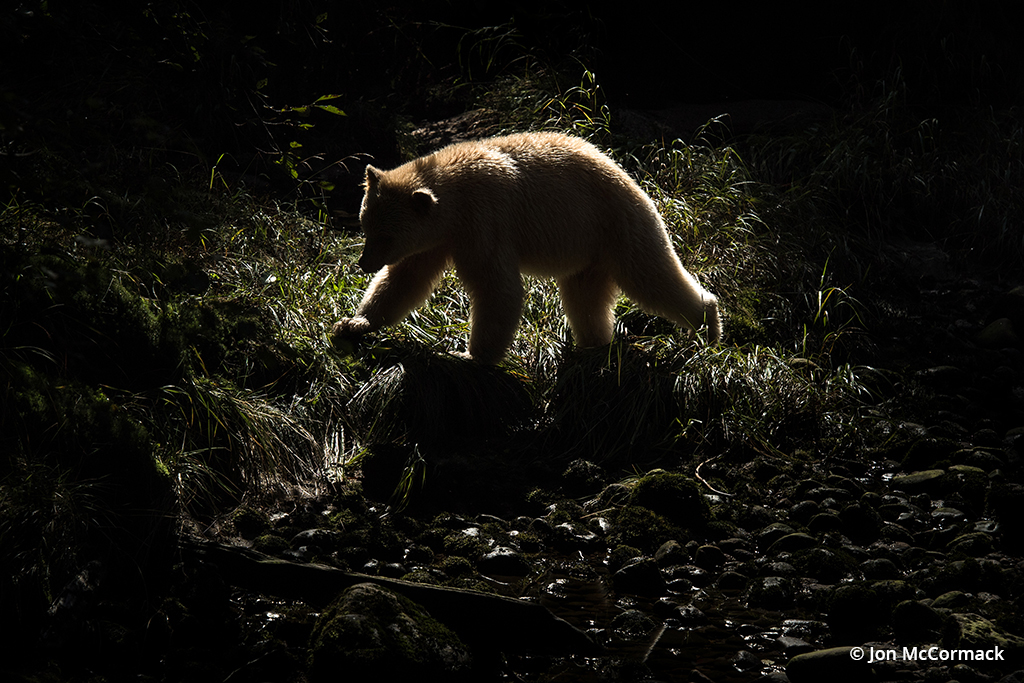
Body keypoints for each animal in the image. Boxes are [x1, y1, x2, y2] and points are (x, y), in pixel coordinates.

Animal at [333, 129, 720, 362]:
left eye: (385, 236)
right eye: (365, 226)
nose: (364, 263)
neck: (453, 199)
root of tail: (631, 177)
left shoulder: (484, 221)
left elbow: (496, 287)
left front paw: (471, 355)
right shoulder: (436, 239)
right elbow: (405, 280)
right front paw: (353, 323)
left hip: (616, 225)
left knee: (650, 276)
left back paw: (707, 324)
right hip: (587, 251)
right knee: (586, 298)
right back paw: (593, 344)